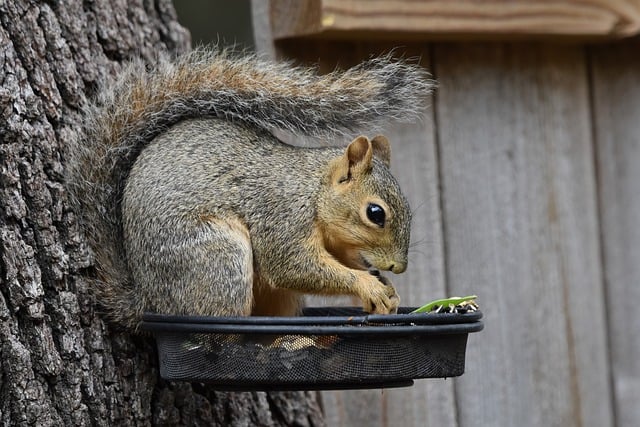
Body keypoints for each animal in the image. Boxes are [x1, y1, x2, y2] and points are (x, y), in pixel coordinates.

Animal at [65, 48, 433, 330]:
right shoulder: (282, 217)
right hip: (217, 257)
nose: (399, 267)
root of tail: (147, 301)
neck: (313, 192)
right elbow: (294, 266)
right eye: (375, 213)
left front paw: (387, 291)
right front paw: (368, 285)